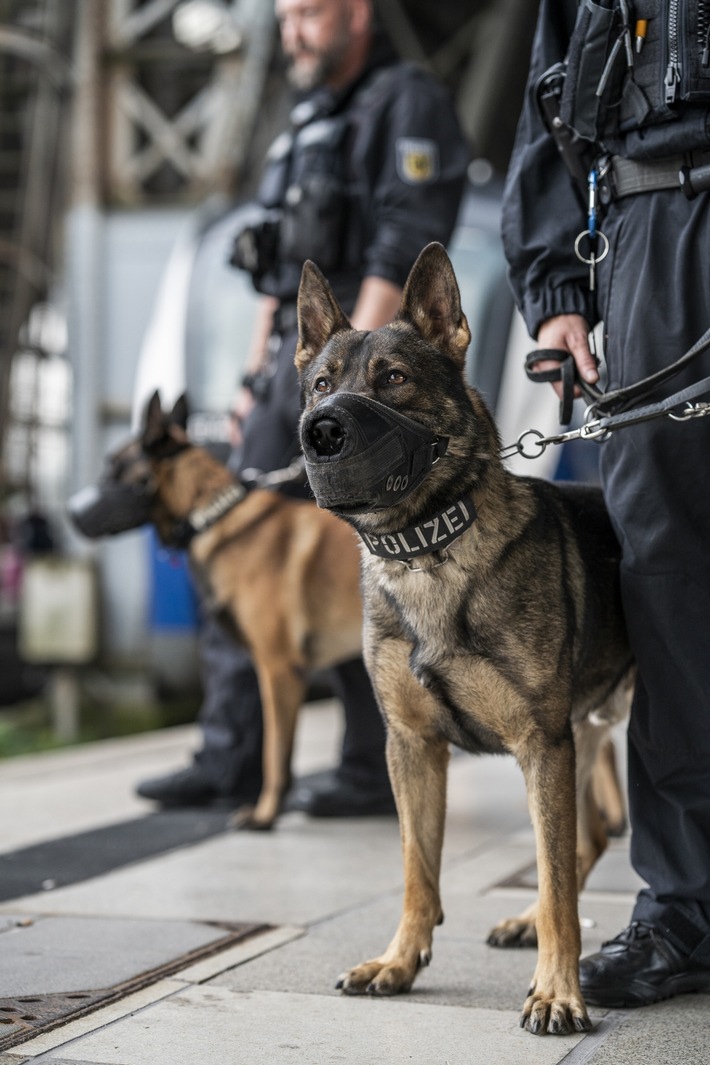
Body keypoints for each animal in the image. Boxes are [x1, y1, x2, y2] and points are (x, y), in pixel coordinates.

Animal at [69, 394, 364, 830]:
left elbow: (274, 755)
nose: (70, 514)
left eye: (113, 467)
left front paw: (264, 816)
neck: (213, 515)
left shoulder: (278, 669)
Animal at [293, 244, 634, 1035]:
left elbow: (558, 882)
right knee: (594, 833)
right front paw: (399, 960)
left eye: (394, 378)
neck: (428, 548)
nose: (322, 427)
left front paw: (558, 991)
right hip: (584, 733)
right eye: (320, 383)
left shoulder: (541, 746)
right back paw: (525, 919)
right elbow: (418, 868)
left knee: (573, 849)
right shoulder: (414, 746)